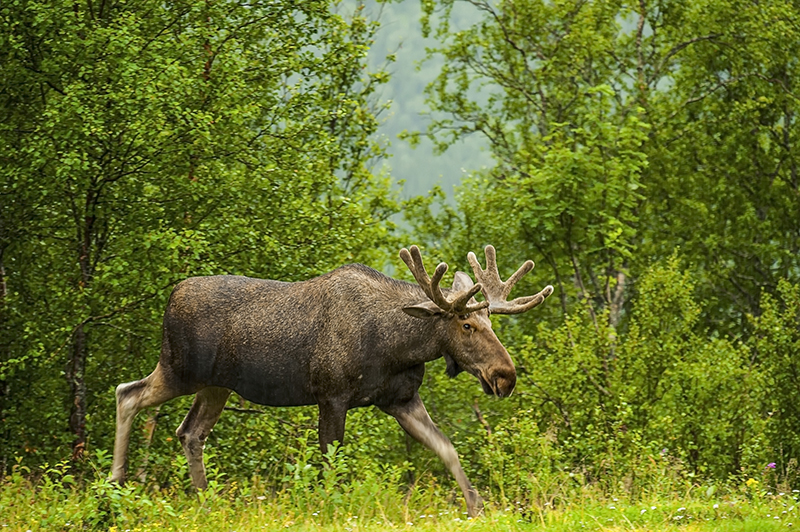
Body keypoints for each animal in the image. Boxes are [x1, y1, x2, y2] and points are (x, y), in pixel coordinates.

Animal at [109, 245, 552, 516]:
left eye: (490, 320)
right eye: (465, 324)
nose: (505, 376)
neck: (397, 345)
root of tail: (171, 296)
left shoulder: (400, 399)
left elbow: (447, 450)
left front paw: (477, 507)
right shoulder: (332, 395)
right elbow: (329, 463)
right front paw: (327, 508)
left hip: (215, 385)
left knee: (190, 432)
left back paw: (205, 499)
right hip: (179, 369)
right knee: (127, 393)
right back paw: (115, 482)